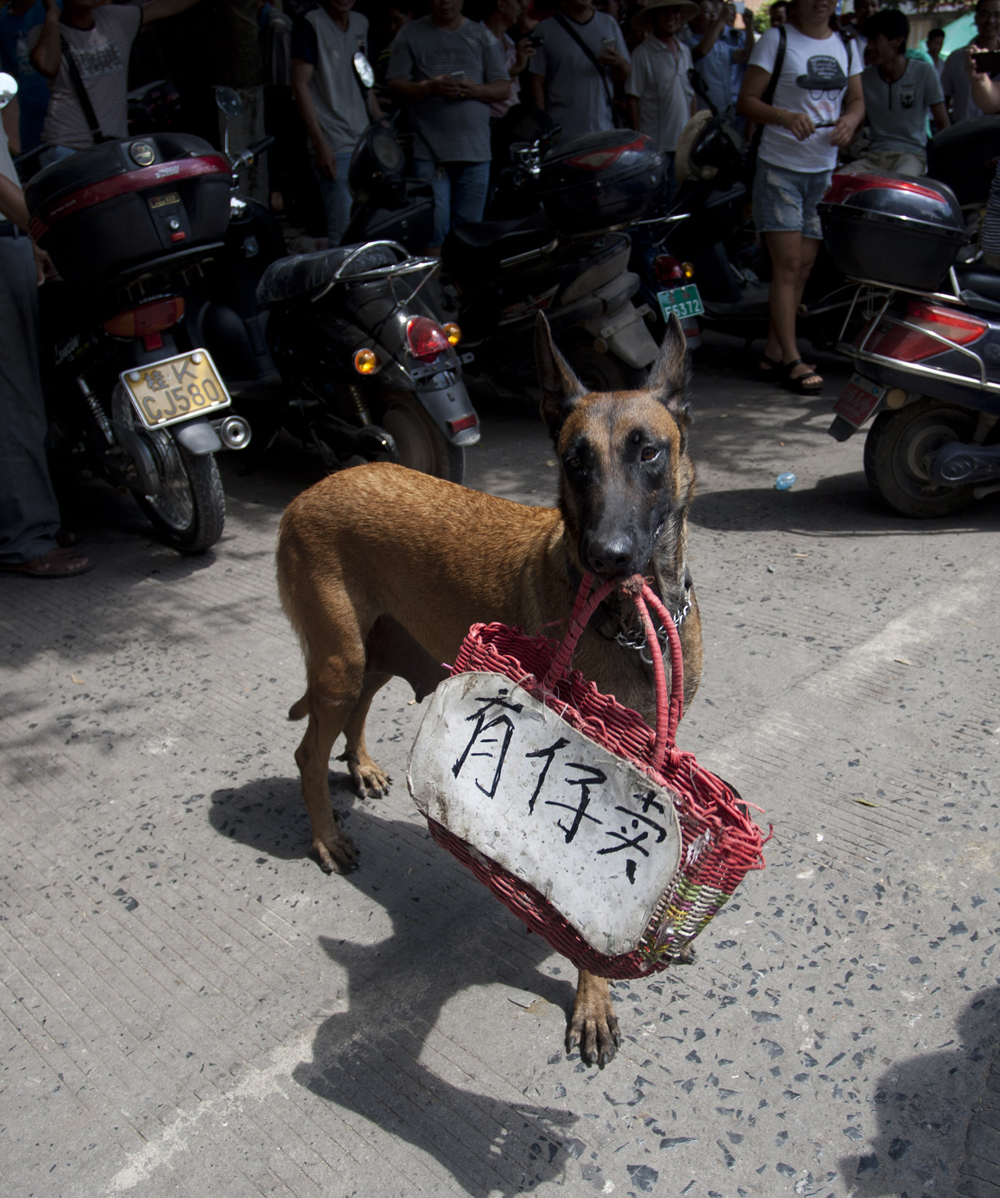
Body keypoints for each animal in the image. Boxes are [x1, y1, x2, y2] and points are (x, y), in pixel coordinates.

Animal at [275, 311, 704, 1068]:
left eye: (648, 452)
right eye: (575, 462)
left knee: (352, 716)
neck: (631, 621)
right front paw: (594, 998)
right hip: (339, 662)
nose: (608, 556)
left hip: (377, 652)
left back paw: (361, 767)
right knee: (306, 753)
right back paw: (326, 837)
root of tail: (308, 492)